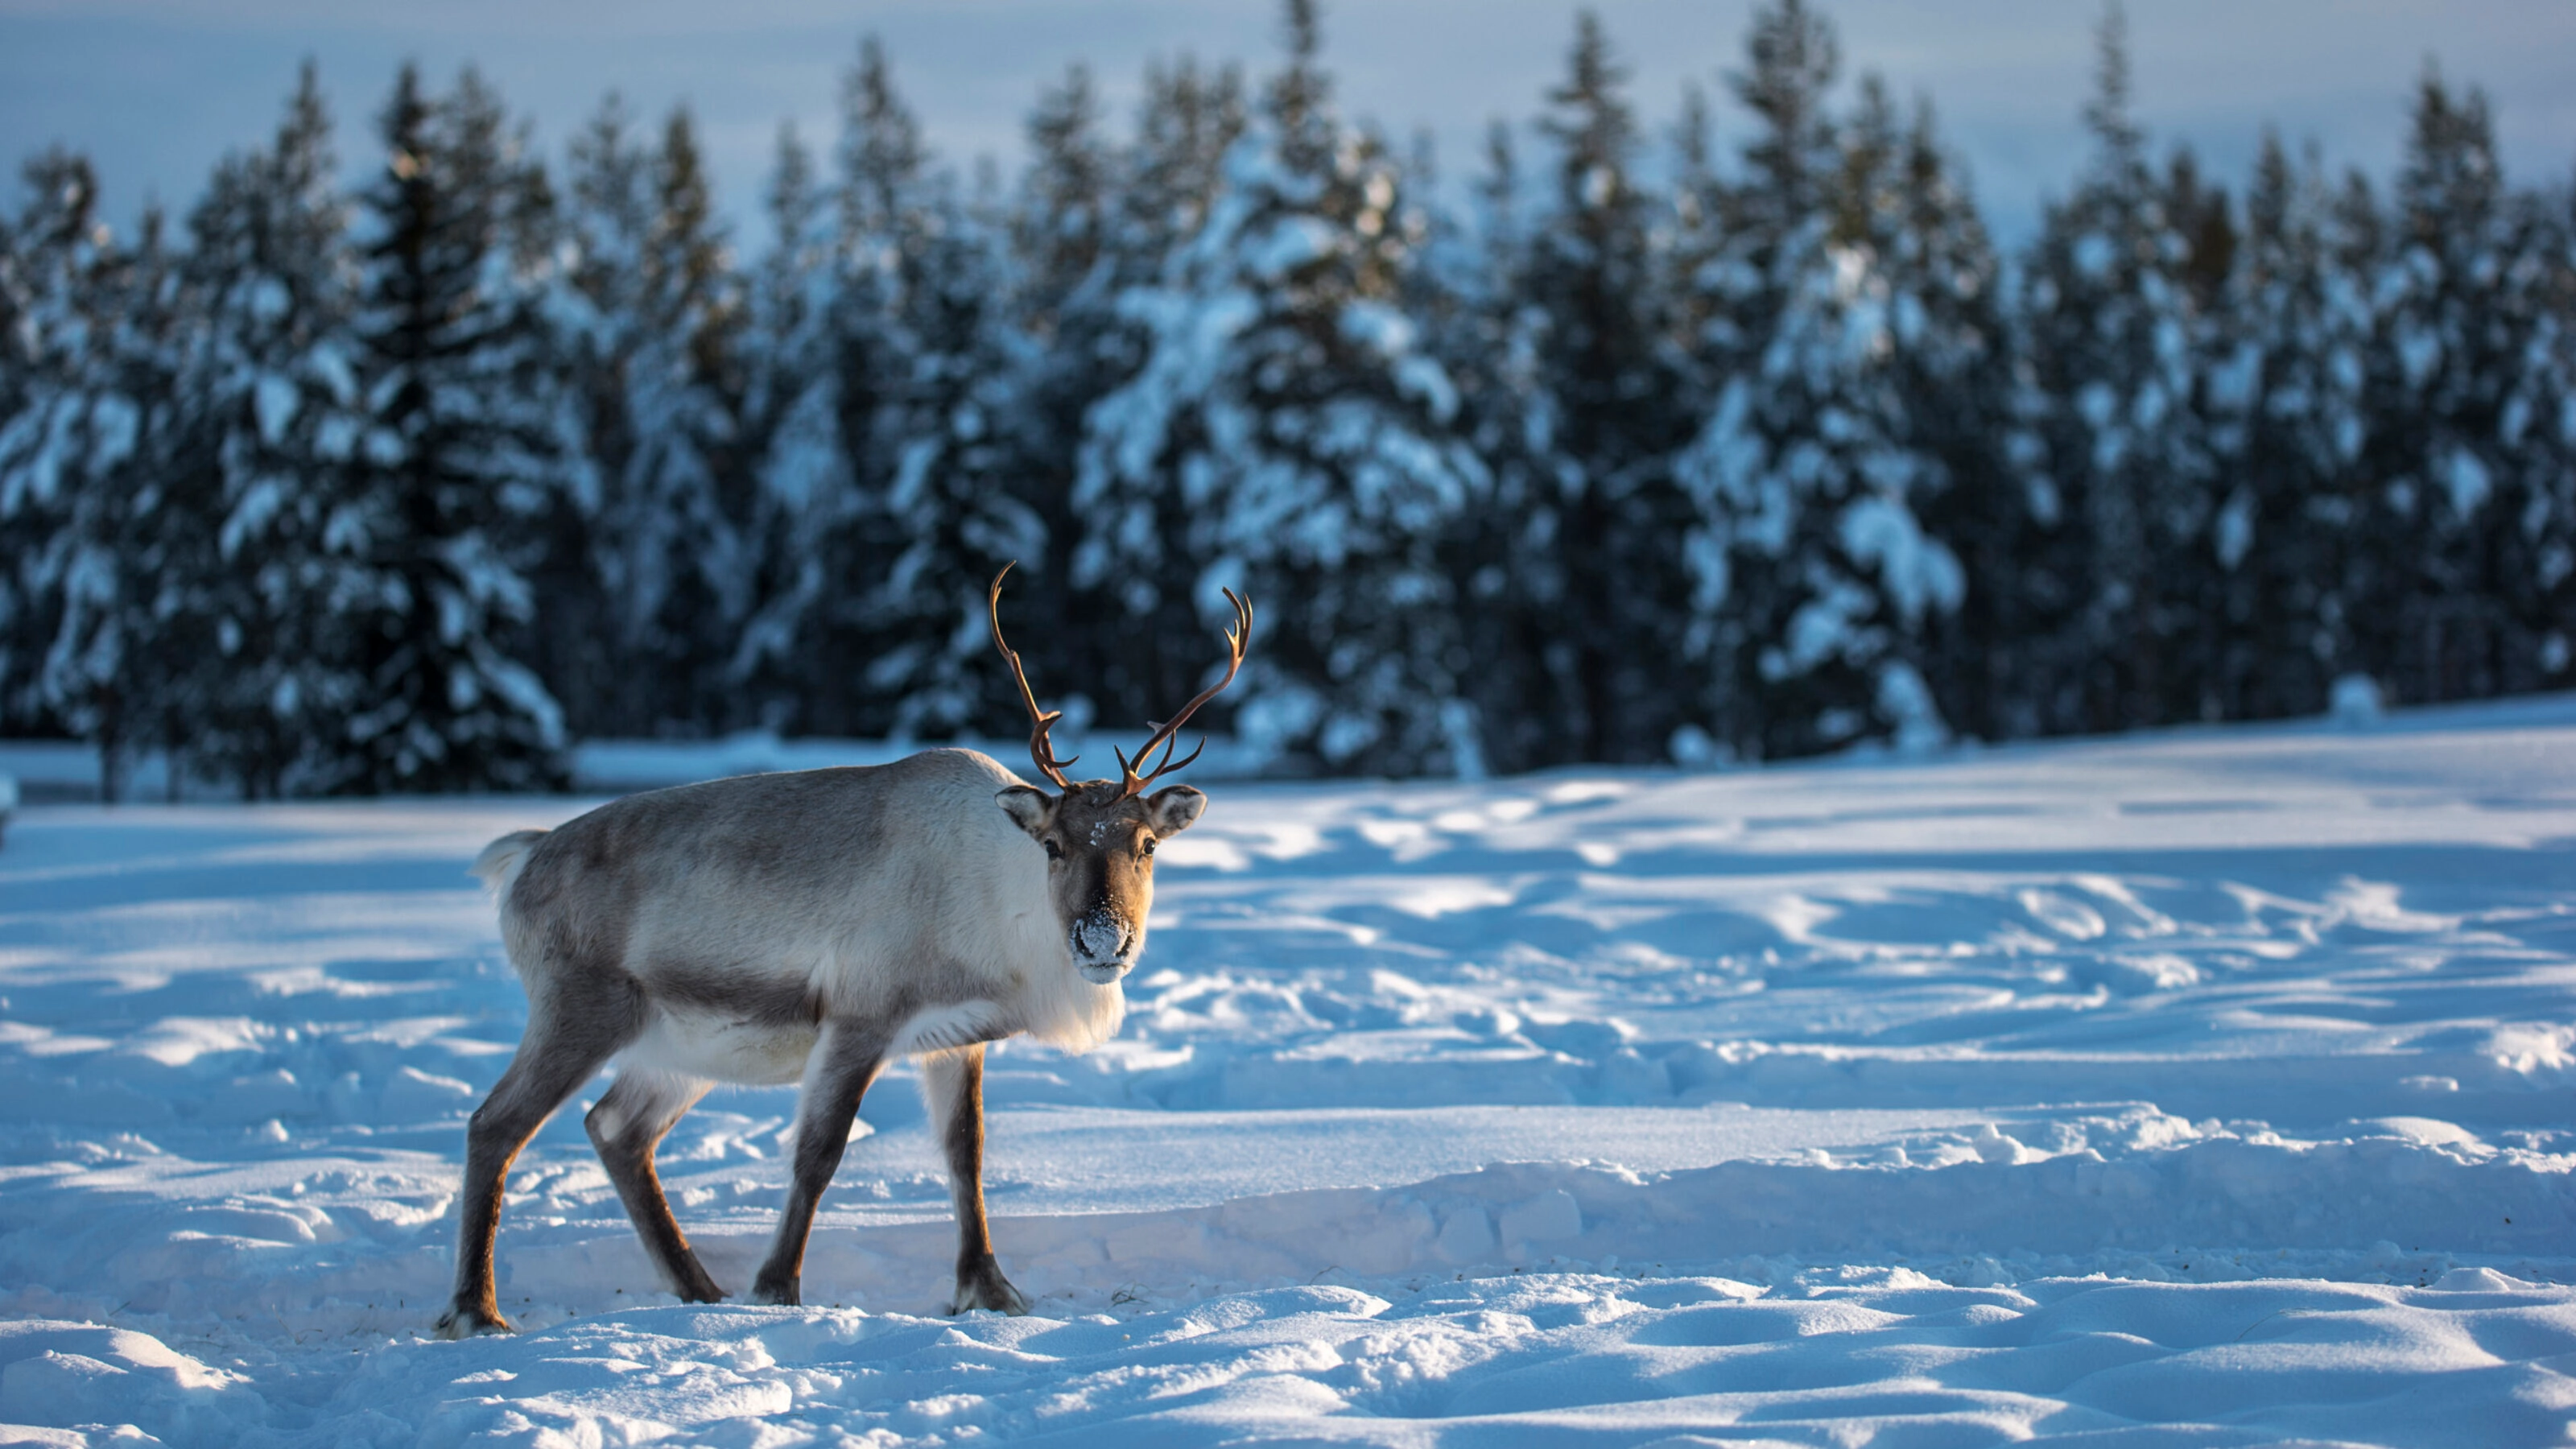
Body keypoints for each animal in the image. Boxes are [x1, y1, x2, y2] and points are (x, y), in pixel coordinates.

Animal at [433, 568, 1251, 1337]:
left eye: (1146, 845)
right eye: (1052, 846)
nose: (1102, 939)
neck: (1003, 919)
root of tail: (522, 859)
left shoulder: (956, 1035)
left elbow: (966, 1155)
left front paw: (990, 1293)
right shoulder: (862, 1015)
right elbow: (818, 1154)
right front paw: (777, 1289)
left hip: (676, 1046)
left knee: (615, 1130)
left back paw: (699, 1289)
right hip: (578, 1006)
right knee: (494, 1125)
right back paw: (478, 1310)